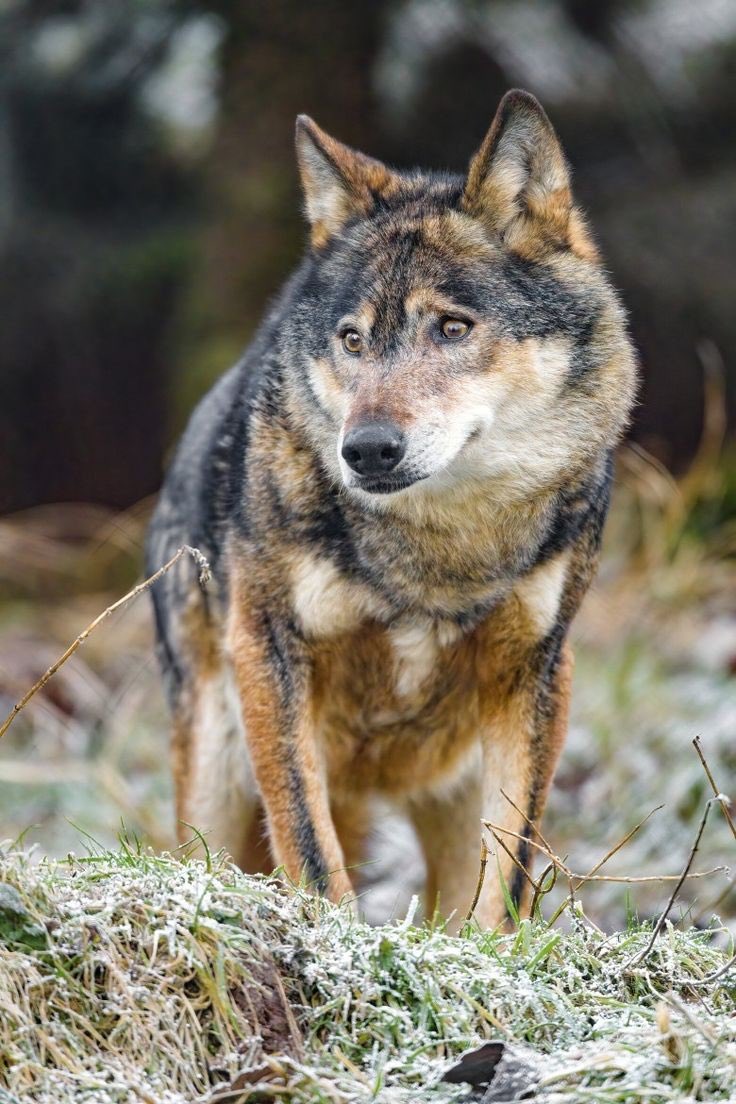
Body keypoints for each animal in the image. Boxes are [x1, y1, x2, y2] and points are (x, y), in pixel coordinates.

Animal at [146, 89, 637, 929]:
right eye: (351, 339)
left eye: (452, 328)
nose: (367, 450)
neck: (441, 546)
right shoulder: (266, 648)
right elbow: (308, 843)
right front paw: (334, 938)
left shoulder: (538, 668)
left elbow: (512, 866)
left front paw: (490, 953)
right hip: (215, 758)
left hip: (449, 790)